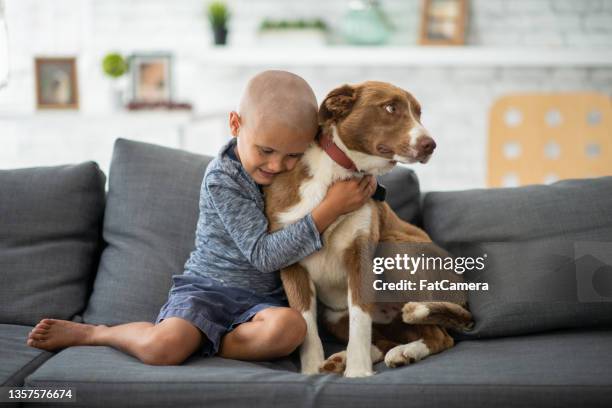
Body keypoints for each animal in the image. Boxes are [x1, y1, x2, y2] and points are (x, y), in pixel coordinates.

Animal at [264, 81, 474, 378]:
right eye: (390, 108)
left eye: (419, 113)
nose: (430, 145)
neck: (339, 174)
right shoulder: (290, 259)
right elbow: (306, 325)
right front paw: (312, 371)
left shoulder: (360, 253)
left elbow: (360, 321)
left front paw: (358, 372)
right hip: (334, 315)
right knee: (387, 341)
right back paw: (342, 359)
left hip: (395, 251)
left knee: (440, 337)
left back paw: (404, 353)